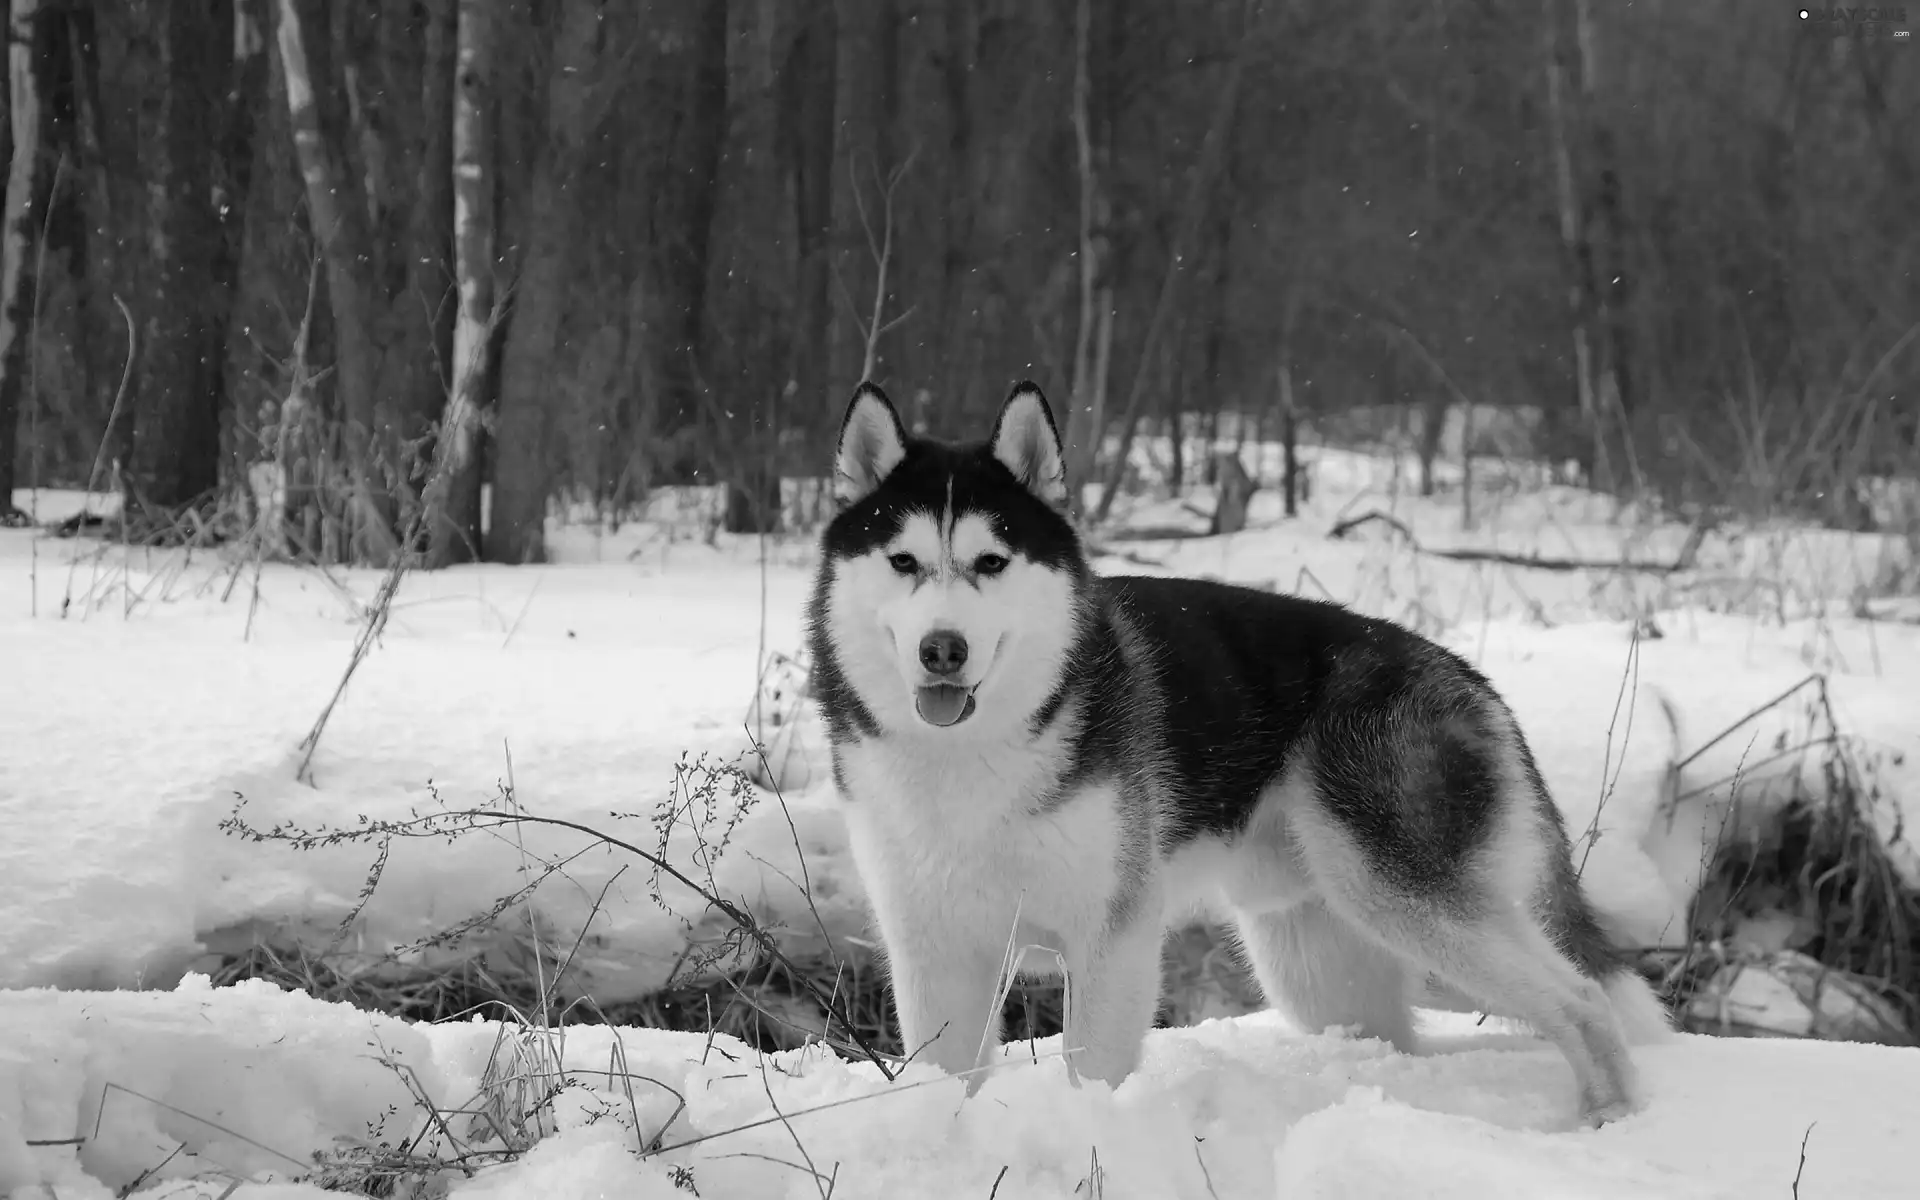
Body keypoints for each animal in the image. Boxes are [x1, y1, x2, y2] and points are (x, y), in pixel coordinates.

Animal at [802, 378, 1674, 1121]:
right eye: (903, 561)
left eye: (992, 561)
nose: (942, 649)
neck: (973, 754)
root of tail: (1468, 678)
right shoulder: (934, 950)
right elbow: (947, 1079)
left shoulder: (1113, 937)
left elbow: (1095, 1073)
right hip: (1321, 964)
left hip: (1410, 904)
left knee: (1584, 1001)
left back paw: (1606, 1122)